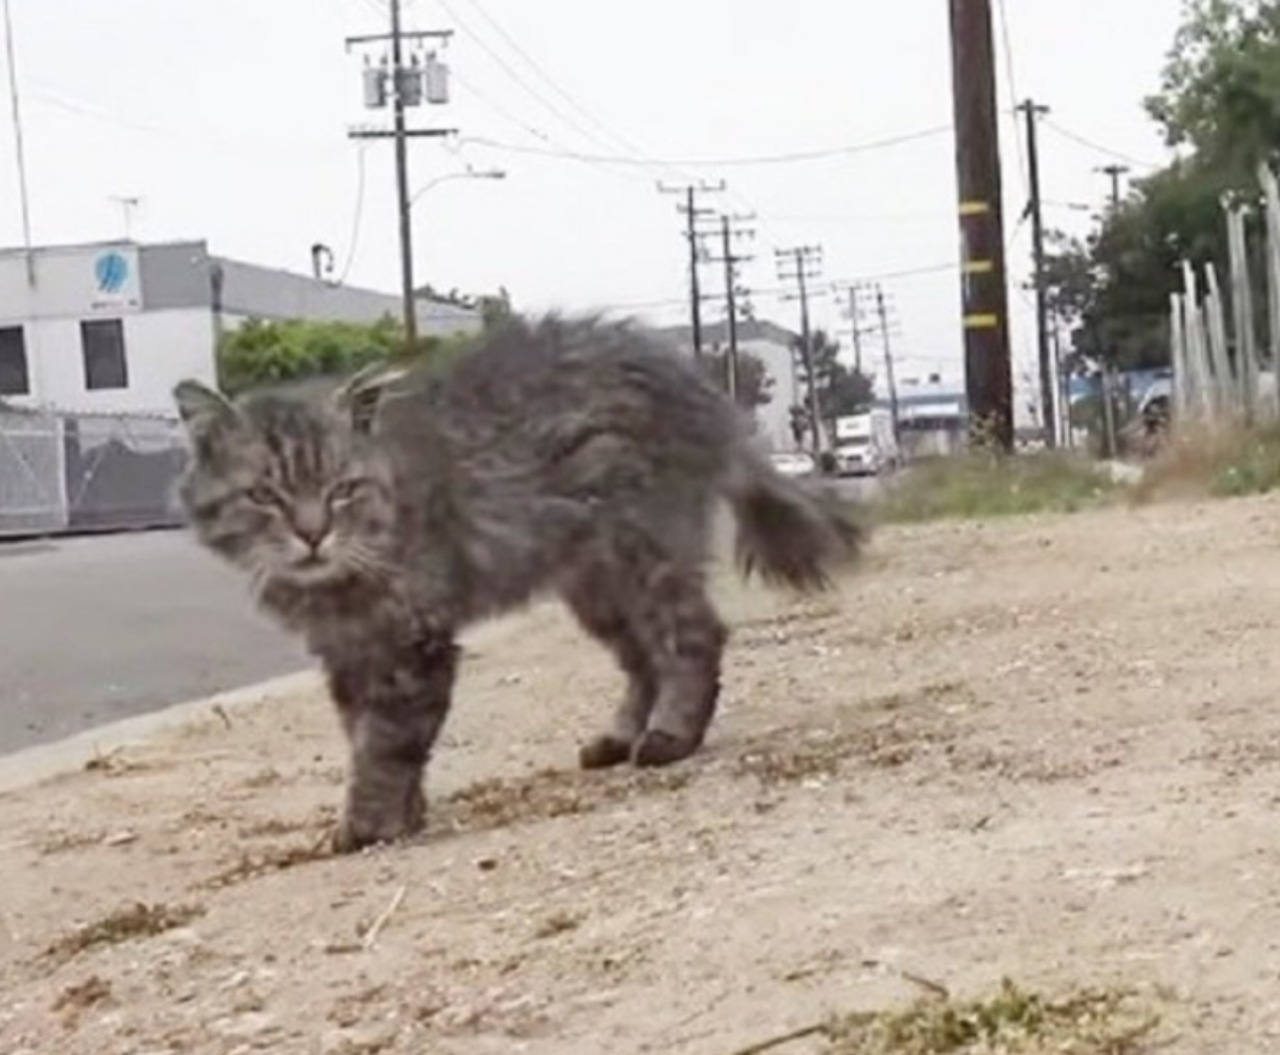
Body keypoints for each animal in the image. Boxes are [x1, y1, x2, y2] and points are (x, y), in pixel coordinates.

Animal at [172, 311, 870, 850]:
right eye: (265, 496)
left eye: (341, 491)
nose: (313, 534)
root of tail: (693, 382)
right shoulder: (350, 652)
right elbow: (365, 736)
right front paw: (404, 814)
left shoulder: (412, 642)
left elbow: (386, 745)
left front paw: (371, 824)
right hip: (597, 586)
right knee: (644, 659)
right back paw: (621, 738)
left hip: (639, 552)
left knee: (694, 637)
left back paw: (671, 738)